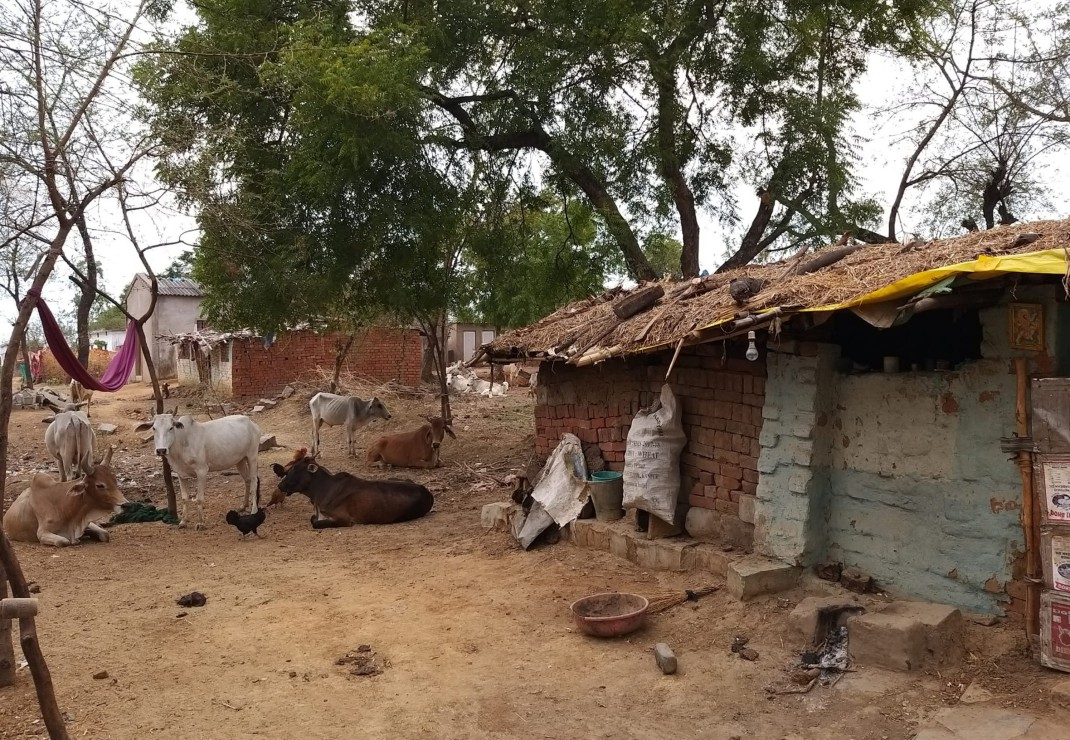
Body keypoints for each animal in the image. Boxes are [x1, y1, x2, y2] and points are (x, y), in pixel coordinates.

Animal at [134, 410, 262, 526]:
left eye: (170, 428)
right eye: (153, 428)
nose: (161, 450)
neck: (181, 444)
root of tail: (251, 423)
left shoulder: (202, 471)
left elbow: (199, 498)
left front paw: (200, 523)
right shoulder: (180, 474)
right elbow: (185, 498)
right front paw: (183, 521)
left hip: (252, 456)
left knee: (254, 481)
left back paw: (254, 510)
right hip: (240, 460)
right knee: (247, 480)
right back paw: (243, 506)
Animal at [273, 446, 432, 528]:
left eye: (295, 469)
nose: (280, 485)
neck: (322, 489)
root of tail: (426, 491)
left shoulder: (343, 519)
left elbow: (315, 522)